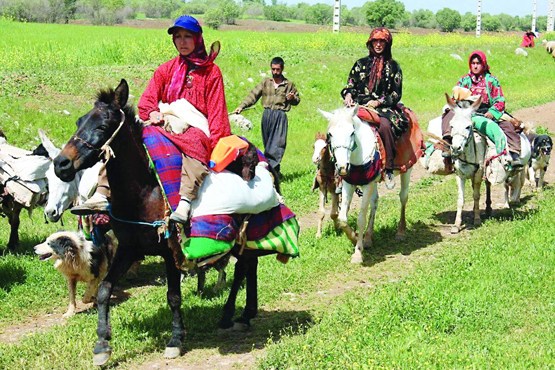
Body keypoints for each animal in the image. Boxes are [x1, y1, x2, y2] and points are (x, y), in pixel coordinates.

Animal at [53, 79, 274, 366]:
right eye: (79, 122)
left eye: (102, 126)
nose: (61, 164)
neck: (144, 193)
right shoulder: (128, 248)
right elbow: (104, 290)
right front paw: (102, 345)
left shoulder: (170, 252)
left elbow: (174, 297)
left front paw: (175, 340)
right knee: (248, 267)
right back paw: (245, 314)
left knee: (243, 269)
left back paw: (231, 316)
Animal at [318, 106, 412, 264]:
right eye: (330, 134)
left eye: (352, 132)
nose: (342, 167)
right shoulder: (349, 183)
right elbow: (342, 218)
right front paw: (355, 237)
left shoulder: (367, 184)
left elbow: (361, 218)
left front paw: (357, 252)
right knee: (375, 202)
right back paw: (368, 238)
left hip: (407, 169)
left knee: (403, 198)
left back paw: (401, 232)